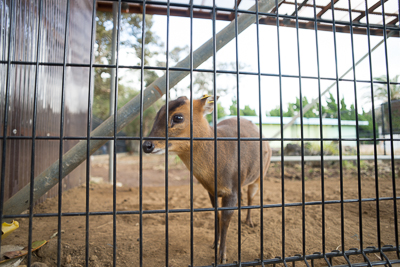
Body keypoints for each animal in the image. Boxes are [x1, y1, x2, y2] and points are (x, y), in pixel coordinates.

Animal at [141, 96, 272, 264]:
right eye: (157, 114)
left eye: (178, 117)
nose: (147, 145)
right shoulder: (212, 190)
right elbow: (216, 215)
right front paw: (215, 243)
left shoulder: (232, 189)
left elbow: (225, 218)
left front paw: (222, 256)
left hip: (260, 175)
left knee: (251, 196)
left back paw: (249, 222)